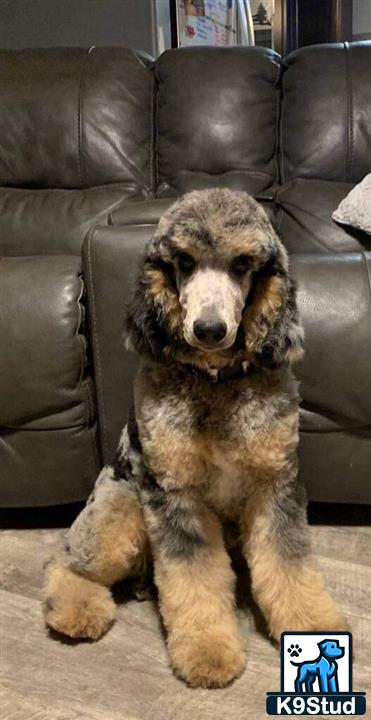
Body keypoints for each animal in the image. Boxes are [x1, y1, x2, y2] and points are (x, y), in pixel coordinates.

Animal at [44, 188, 348, 688]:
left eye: (242, 264)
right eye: (184, 262)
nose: (209, 329)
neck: (215, 381)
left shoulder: (275, 485)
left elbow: (289, 562)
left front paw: (311, 622)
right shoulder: (178, 495)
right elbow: (195, 578)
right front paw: (208, 651)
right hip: (117, 514)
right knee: (65, 562)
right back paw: (76, 610)